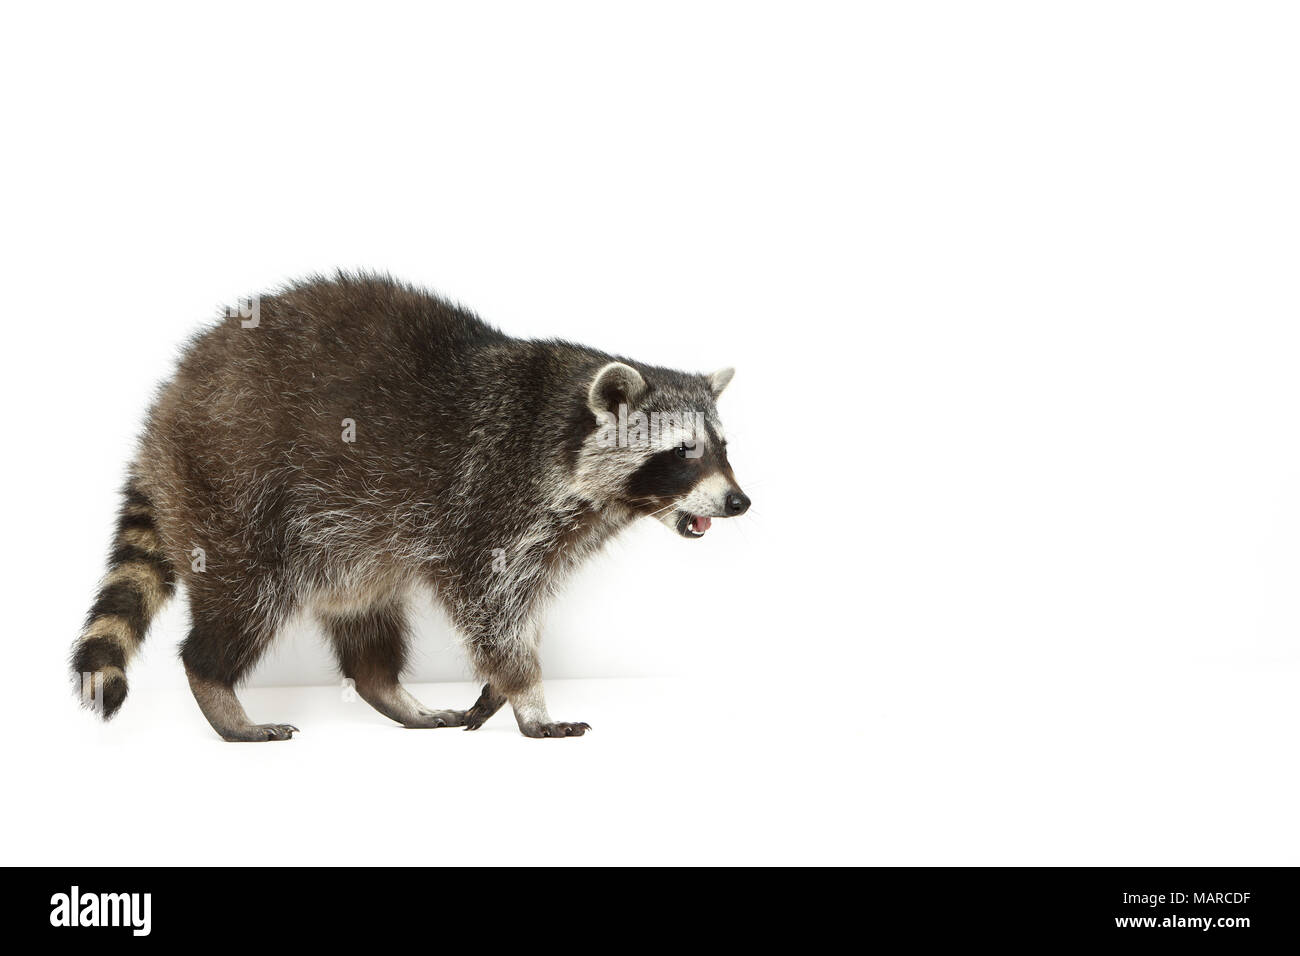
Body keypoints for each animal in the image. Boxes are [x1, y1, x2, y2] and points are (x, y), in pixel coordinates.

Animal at [73, 273, 754, 743]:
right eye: (684, 450)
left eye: (722, 447)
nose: (739, 501)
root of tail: (168, 402)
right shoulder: (494, 500)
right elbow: (492, 604)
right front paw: (528, 693)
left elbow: (519, 607)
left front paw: (500, 687)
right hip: (235, 490)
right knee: (246, 594)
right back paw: (217, 686)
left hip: (343, 535)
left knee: (364, 611)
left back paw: (387, 690)